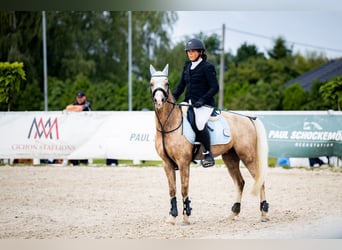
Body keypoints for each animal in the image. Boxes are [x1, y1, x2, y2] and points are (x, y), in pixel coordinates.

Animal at [150, 64, 270, 225]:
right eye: (151, 84)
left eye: (166, 83)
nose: (159, 101)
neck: (168, 125)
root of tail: (247, 118)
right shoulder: (166, 163)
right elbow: (172, 190)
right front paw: (172, 217)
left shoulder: (183, 162)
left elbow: (184, 188)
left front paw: (186, 216)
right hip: (230, 157)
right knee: (240, 182)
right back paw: (233, 213)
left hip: (247, 156)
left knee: (259, 180)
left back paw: (263, 214)